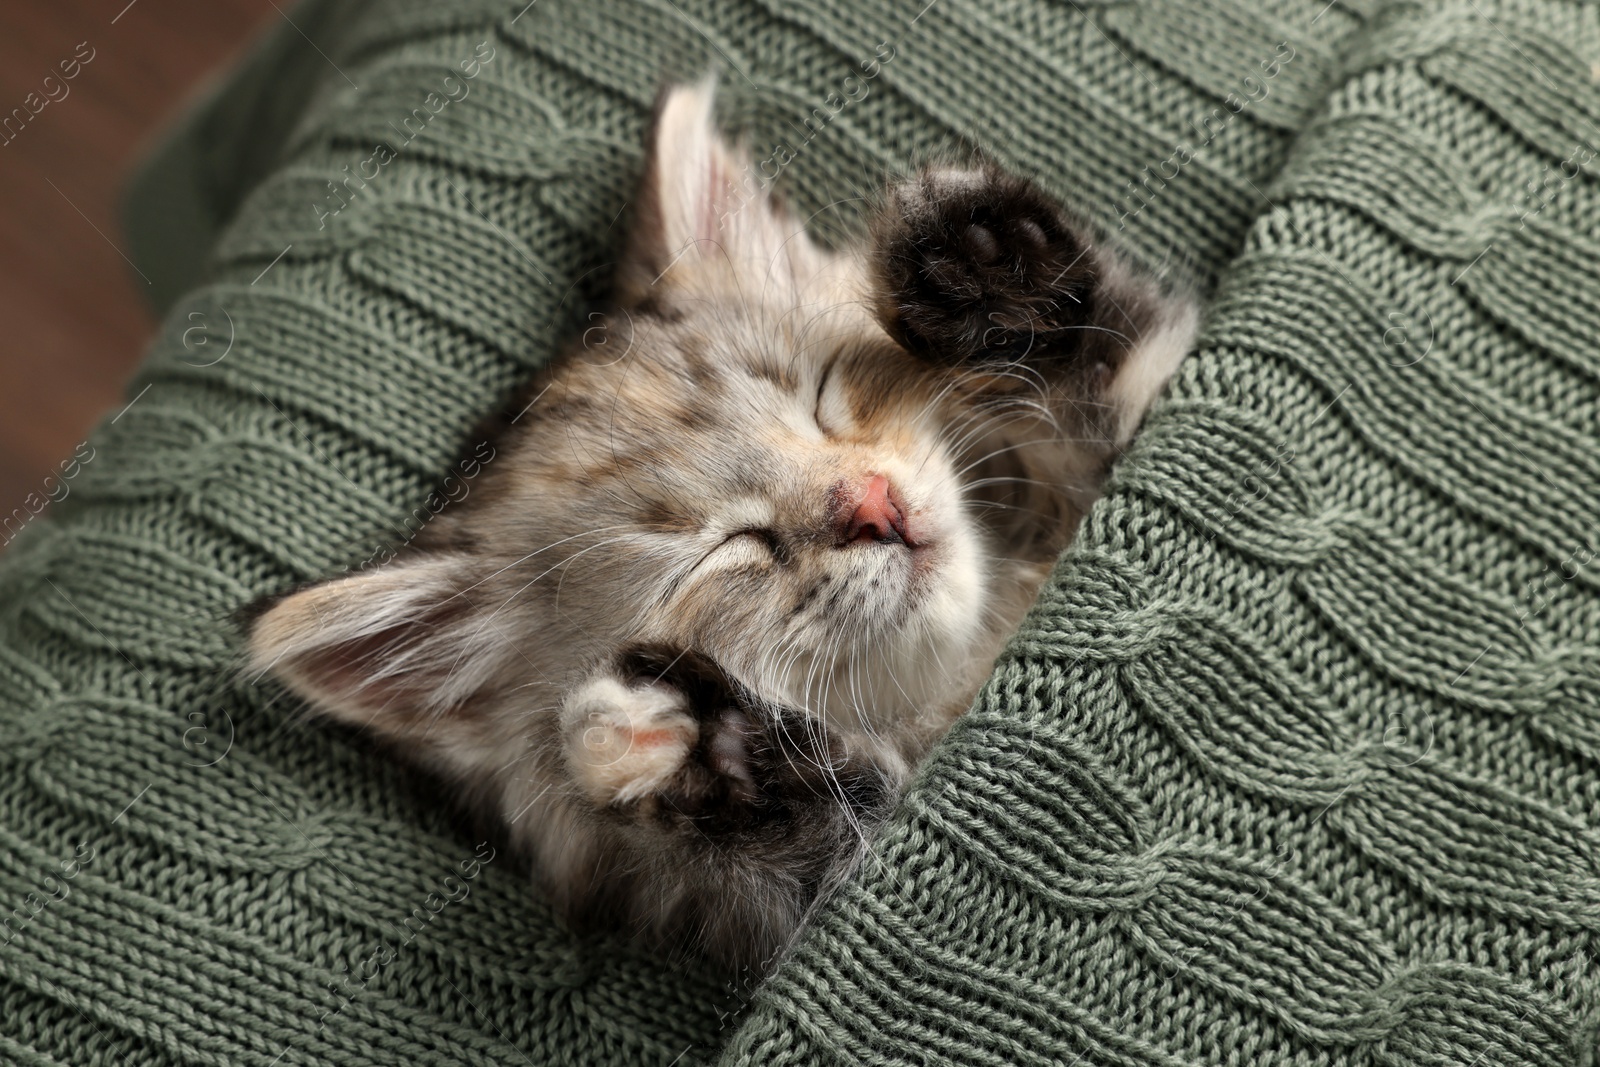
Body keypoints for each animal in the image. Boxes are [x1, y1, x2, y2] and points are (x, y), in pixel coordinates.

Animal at [249, 79, 1196, 972]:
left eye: (822, 396)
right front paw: (700, 747)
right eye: (726, 550)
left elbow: (1121, 355)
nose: (873, 505)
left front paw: (984, 257)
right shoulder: (807, 888)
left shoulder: (1150, 391)